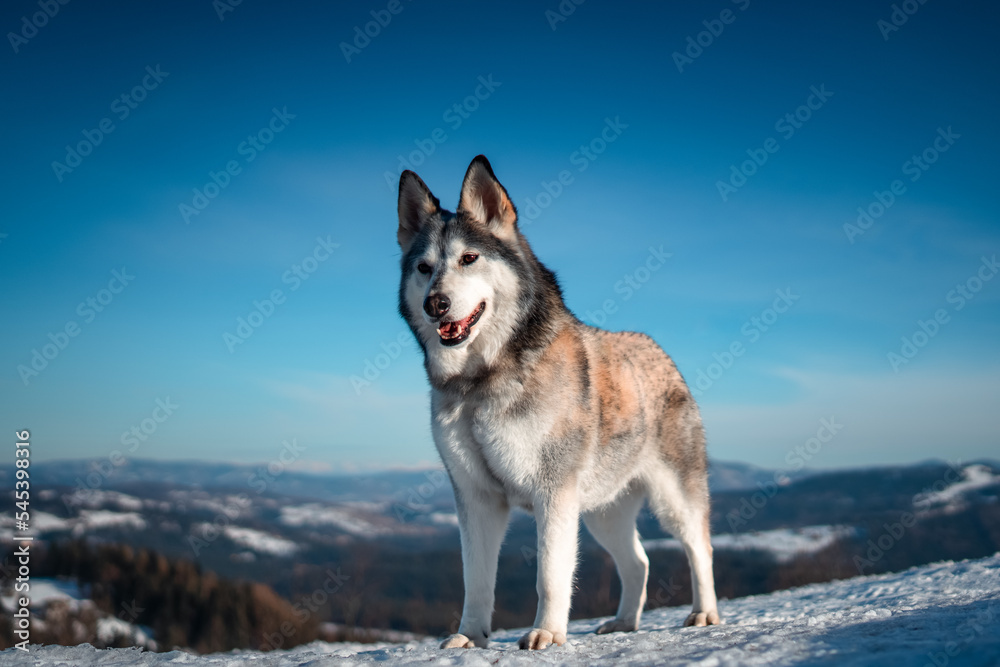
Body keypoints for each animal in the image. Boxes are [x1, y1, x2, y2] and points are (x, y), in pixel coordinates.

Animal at [396, 154, 720, 648]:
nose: (437, 304)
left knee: (699, 546)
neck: (481, 381)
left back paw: (704, 613)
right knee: (639, 561)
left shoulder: (553, 492)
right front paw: (469, 637)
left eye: (469, 258)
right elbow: (476, 580)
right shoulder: (476, 497)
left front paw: (546, 634)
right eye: (424, 267)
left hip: (672, 497)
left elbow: (550, 573)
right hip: (603, 510)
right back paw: (624, 622)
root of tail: (658, 350)